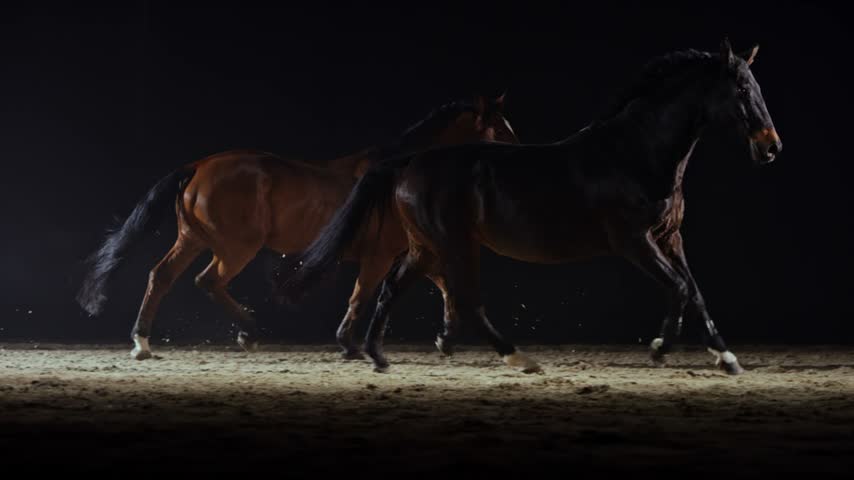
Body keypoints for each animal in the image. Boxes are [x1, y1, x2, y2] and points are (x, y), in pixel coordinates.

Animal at [76, 94, 519, 360]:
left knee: (161, 276)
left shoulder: (411, 251)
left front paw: (446, 338)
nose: (519, 159)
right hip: (236, 247)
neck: (393, 175)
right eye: (499, 129)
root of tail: (199, 167)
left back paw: (142, 342)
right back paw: (249, 331)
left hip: (193, 239)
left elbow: (444, 284)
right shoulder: (381, 254)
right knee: (208, 281)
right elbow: (362, 294)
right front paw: (348, 344)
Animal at [283, 39, 781, 375]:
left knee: (393, 287)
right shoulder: (634, 240)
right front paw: (660, 348)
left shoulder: (668, 237)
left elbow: (694, 290)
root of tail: (409, 161)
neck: (635, 153)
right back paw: (519, 357)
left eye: (756, 85)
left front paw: (727, 356)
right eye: (740, 89)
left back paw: (378, 356)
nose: (771, 147)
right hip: (454, 243)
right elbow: (678, 288)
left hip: (426, 246)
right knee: (464, 299)